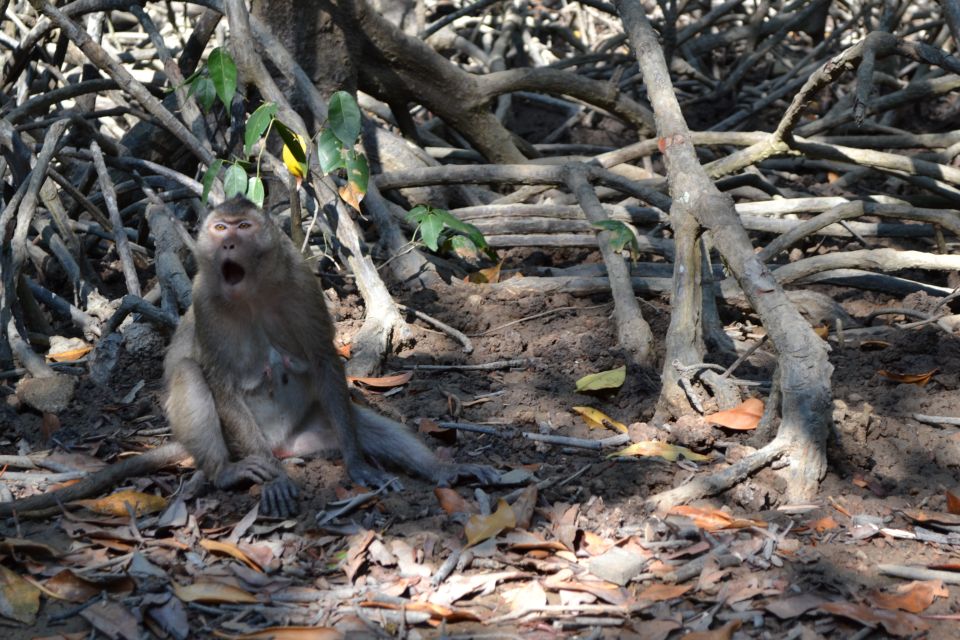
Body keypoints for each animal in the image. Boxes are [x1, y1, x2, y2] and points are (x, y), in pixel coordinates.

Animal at [5, 196, 502, 520]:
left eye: (242, 228)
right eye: (219, 229)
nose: (227, 245)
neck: (254, 291)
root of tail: (284, 445)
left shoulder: (302, 284)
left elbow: (323, 359)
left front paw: (359, 464)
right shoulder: (204, 301)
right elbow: (219, 379)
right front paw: (275, 481)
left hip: (316, 431)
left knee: (360, 421)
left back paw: (442, 470)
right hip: (239, 439)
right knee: (190, 374)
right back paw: (229, 472)